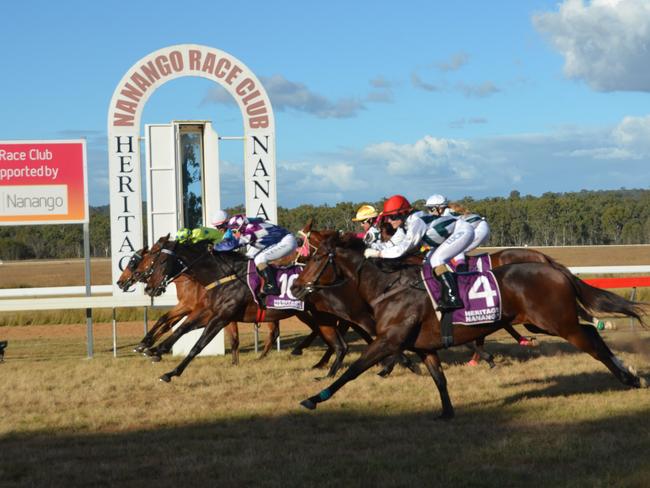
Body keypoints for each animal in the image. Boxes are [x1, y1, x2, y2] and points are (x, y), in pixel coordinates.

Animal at [292, 234, 644, 418]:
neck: (389, 287)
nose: (295, 287)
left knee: (592, 343)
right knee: (592, 331)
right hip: (540, 323)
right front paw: (447, 413)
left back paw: (629, 378)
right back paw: (630, 372)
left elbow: (354, 370)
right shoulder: (425, 347)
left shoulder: (389, 339)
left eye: (315, 258)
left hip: (557, 322)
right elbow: (439, 379)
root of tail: (555, 268)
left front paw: (314, 397)